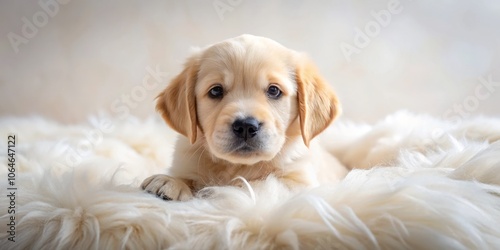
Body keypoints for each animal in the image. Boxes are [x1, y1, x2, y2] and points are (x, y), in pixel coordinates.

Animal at [141, 34, 348, 200]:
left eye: (274, 90)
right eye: (216, 91)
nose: (246, 126)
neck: (238, 166)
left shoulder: (298, 182)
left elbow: (253, 185)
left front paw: (220, 190)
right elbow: (187, 176)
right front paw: (169, 181)